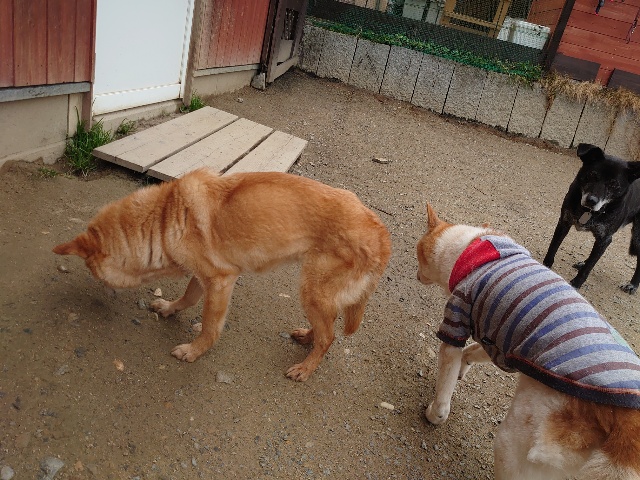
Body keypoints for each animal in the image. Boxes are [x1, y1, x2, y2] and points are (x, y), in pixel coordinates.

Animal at [53, 168, 391, 381]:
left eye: (92, 271)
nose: (100, 294)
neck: (162, 219)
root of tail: (381, 232)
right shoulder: (203, 275)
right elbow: (188, 298)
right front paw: (169, 308)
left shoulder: (221, 281)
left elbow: (210, 326)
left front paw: (194, 351)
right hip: (317, 295)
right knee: (326, 329)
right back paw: (306, 336)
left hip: (313, 291)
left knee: (329, 337)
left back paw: (305, 368)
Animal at [417, 203, 640, 479]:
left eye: (418, 254)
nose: (416, 274)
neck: (469, 249)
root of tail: (624, 421)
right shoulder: (502, 340)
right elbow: (473, 351)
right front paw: (464, 366)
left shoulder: (458, 319)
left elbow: (445, 384)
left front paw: (435, 414)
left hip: (513, 439)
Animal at [543, 143, 640, 293]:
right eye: (592, 175)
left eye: (614, 185)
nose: (591, 201)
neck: (588, 211)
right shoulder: (564, 222)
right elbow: (553, 247)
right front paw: (546, 266)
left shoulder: (604, 239)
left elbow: (589, 267)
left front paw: (576, 283)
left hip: (637, 236)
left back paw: (632, 285)